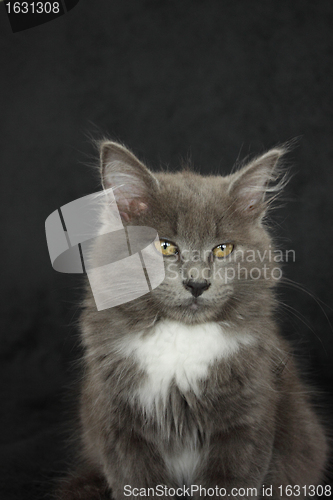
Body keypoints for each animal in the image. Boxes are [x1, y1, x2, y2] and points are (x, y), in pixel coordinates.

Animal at [56, 142, 326, 500]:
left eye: (223, 249)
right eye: (165, 246)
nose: (197, 283)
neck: (180, 336)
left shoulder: (247, 422)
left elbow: (229, 483)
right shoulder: (120, 426)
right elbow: (140, 484)